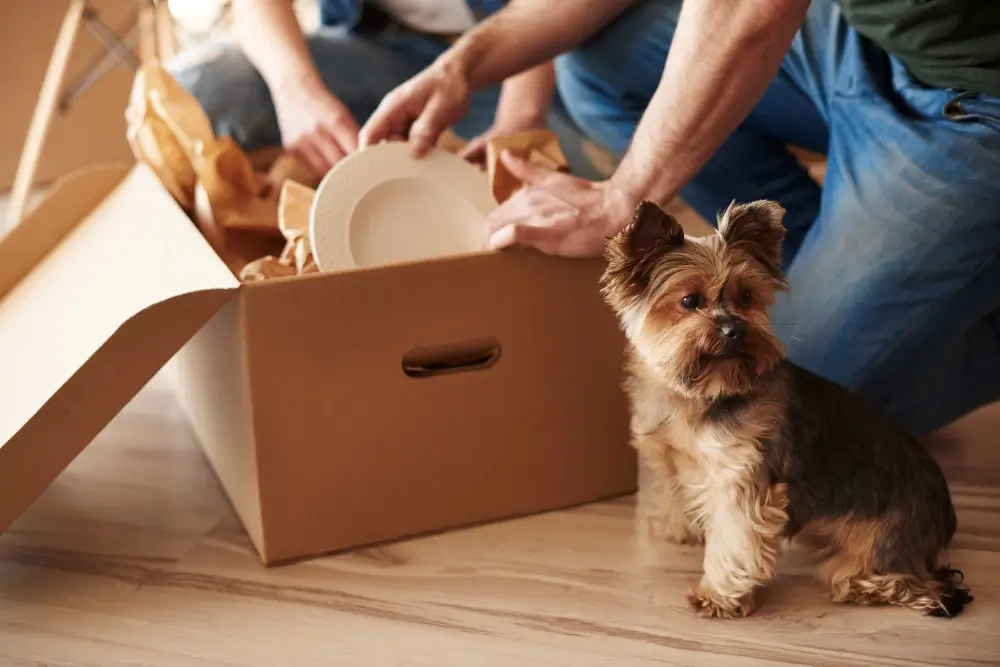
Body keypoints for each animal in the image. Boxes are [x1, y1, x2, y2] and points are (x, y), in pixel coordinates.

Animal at [596, 200, 972, 620]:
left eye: (746, 298)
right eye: (690, 301)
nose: (735, 330)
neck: (703, 393)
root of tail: (944, 513)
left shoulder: (742, 474)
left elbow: (734, 537)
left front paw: (719, 595)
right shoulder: (671, 455)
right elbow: (676, 487)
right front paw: (681, 528)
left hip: (885, 537)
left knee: (898, 582)